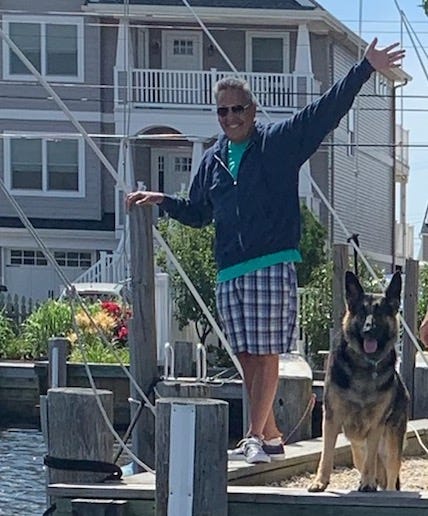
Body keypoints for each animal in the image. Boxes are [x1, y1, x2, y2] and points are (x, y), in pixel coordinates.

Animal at [308, 270, 408, 492]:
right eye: (362, 312)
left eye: (380, 312)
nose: (368, 330)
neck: (365, 365)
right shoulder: (331, 419)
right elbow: (326, 454)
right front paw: (320, 482)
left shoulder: (376, 425)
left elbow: (372, 462)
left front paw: (368, 483)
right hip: (356, 449)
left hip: (390, 445)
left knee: (390, 474)